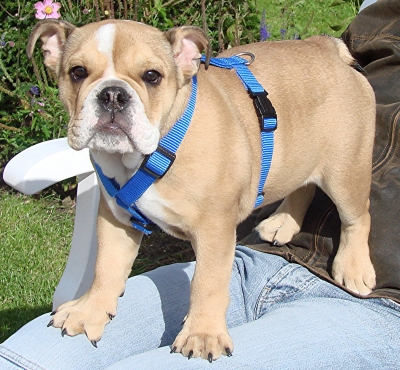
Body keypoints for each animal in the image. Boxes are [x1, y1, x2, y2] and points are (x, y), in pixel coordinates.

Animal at [26, 19, 376, 362]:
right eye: (77, 72)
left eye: (152, 76)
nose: (113, 94)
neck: (148, 155)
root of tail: (325, 46)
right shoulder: (117, 218)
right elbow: (106, 267)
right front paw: (89, 311)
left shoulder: (214, 228)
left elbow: (207, 282)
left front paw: (203, 334)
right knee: (302, 186)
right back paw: (282, 223)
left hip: (345, 171)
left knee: (358, 216)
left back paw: (353, 267)